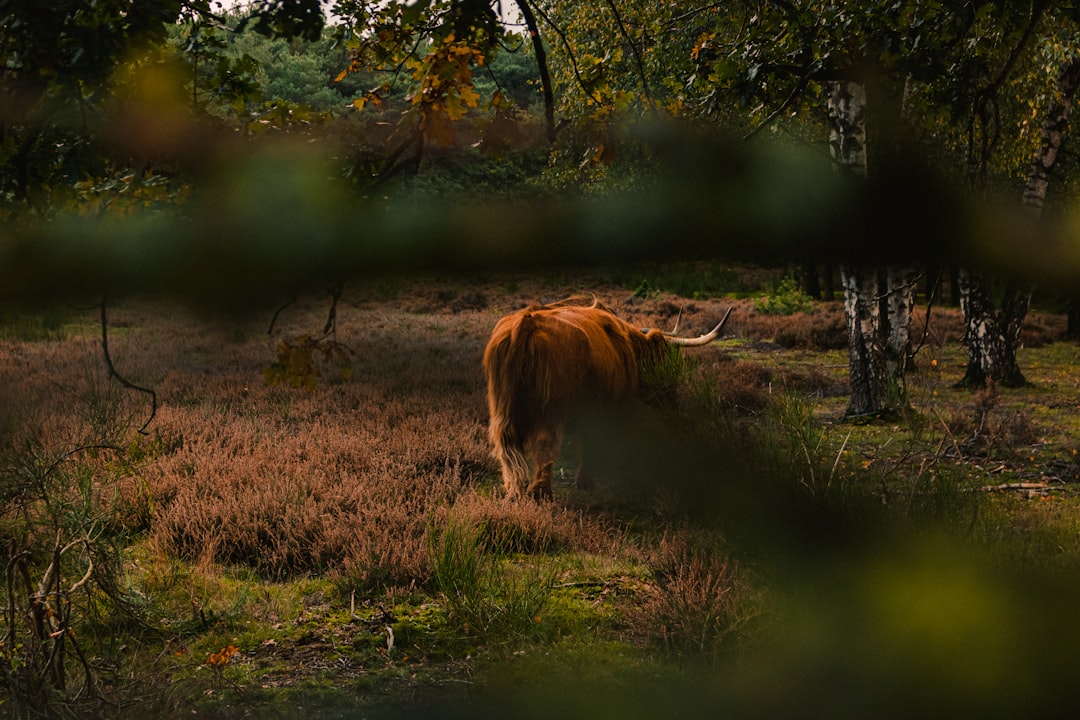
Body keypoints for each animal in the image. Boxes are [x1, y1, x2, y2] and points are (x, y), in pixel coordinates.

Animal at [483, 295, 730, 498]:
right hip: (551, 411)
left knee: (506, 444)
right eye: (662, 358)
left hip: (501, 409)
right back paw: (541, 494)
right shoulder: (614, 410)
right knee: (545, 444)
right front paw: (590, 482)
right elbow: (593, 445)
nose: (673, 399)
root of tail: (526, 322)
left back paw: (513, 490)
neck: (628, 347)